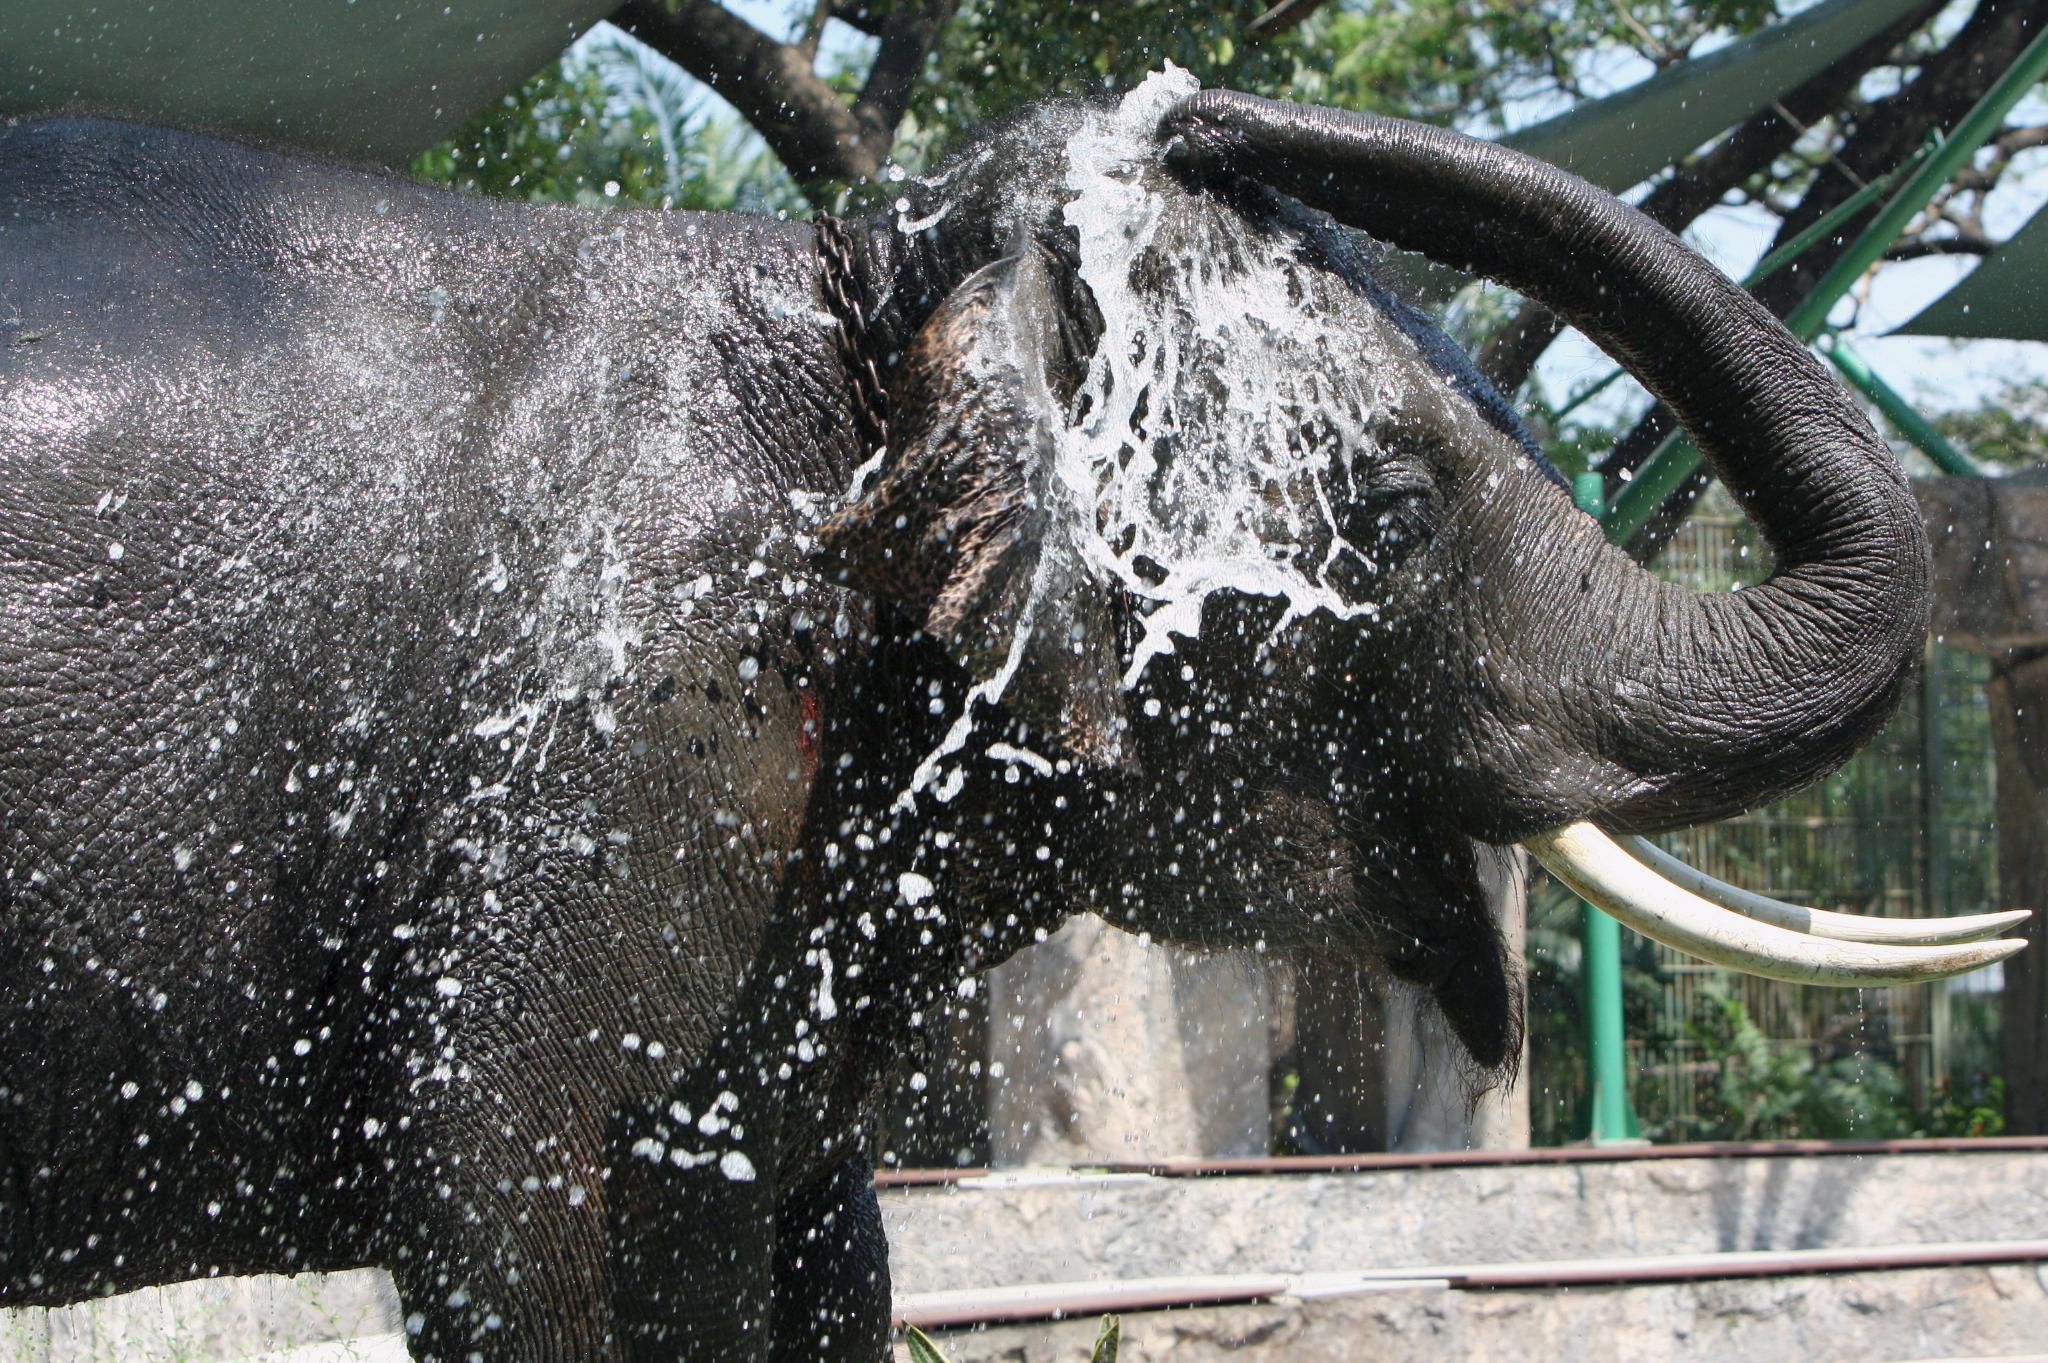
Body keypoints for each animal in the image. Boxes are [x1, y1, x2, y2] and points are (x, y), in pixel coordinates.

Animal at [0, 69, 2015, 1350]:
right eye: (1390, 510)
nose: (1165, 111)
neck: (872, 305)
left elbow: (801, 1239)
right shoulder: (609, 721)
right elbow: (517, 1209)